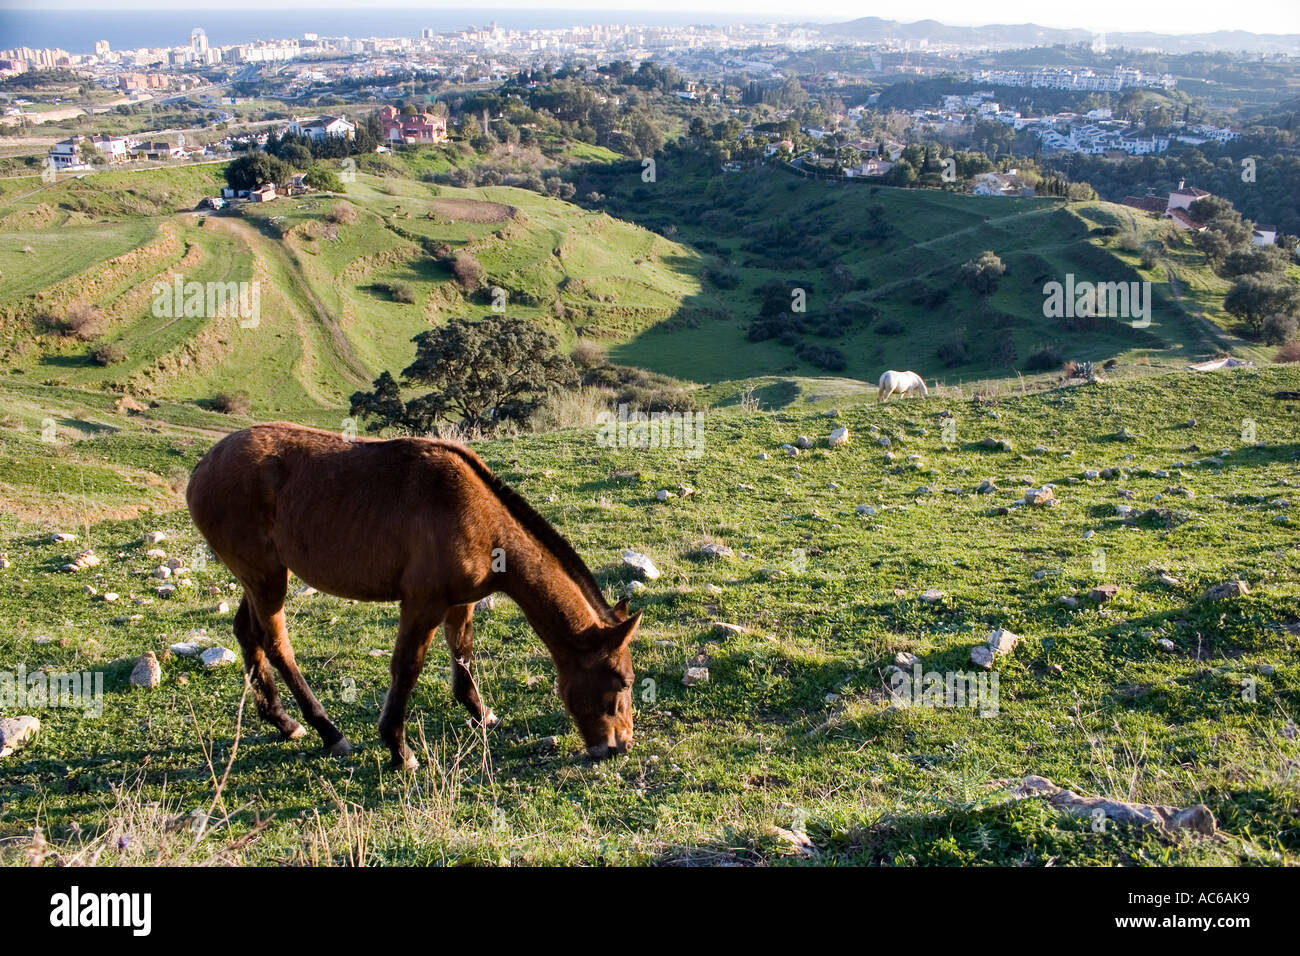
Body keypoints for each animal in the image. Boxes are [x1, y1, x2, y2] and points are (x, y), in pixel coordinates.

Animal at [185, 422, 640, 768]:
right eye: (622, 682)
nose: (619, 745)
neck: (481, 519)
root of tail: (202, 469)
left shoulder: (460, 602)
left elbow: (463, 657)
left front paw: (481, 714)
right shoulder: (423, 604)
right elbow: (407, 668)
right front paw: (399, 749)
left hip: (260, 576)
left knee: (248, 633)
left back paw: (281, 720)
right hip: (265, 576)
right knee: (277, 644)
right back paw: (327, 730)